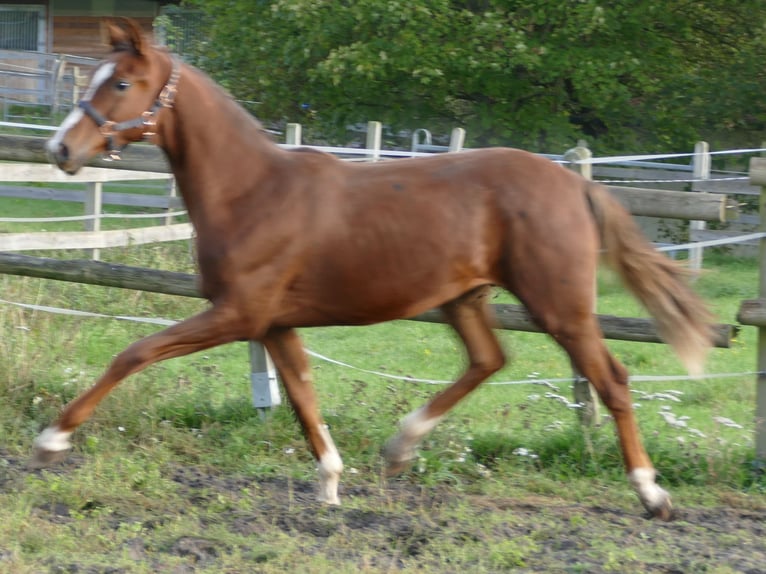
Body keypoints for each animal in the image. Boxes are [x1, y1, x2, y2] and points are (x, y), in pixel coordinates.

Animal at [42, 18, 712, 520]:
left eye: (122, 83)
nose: (60, 150)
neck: (251, 191)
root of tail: (575, 184)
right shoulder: (274, 324)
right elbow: (303, 395)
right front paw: (332, 484)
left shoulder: (237, 314)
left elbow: (133, 353)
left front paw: (53, 438)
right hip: (464, 297)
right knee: (489, 360)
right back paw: (399, 447)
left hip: (560, 306)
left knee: (612, 380)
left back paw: (652, 495)